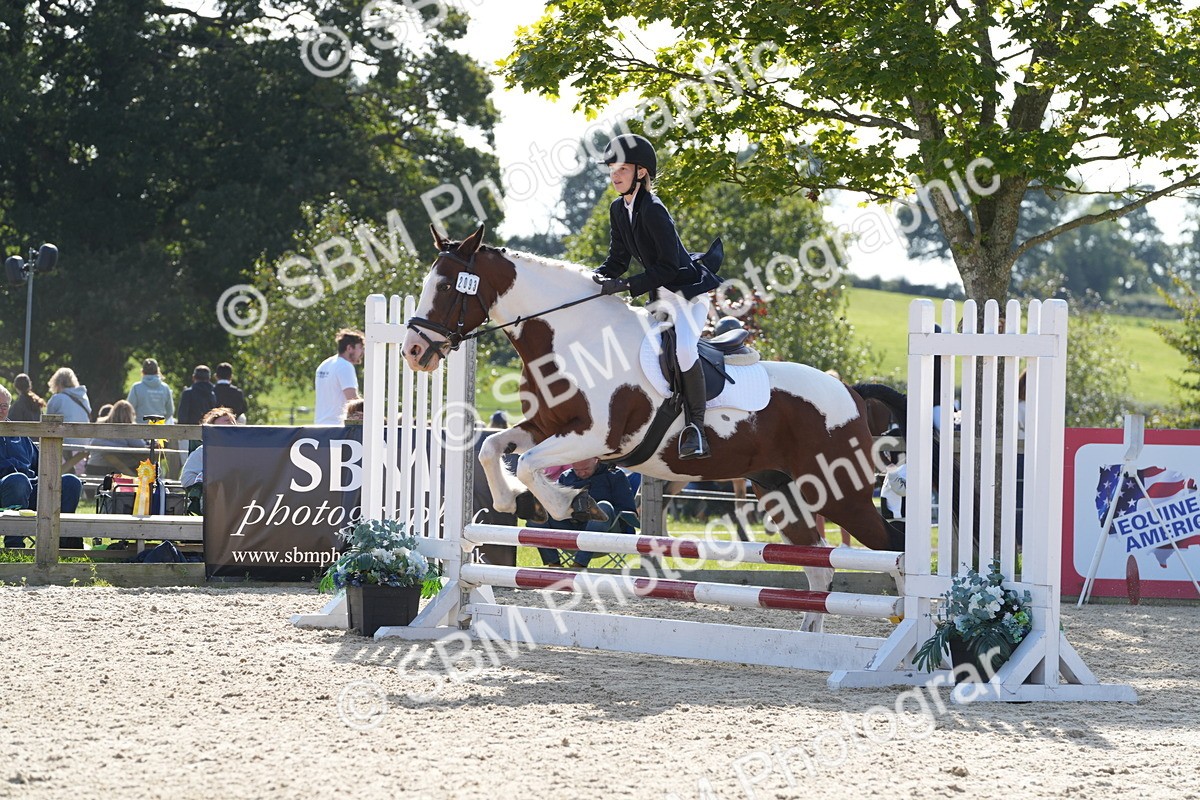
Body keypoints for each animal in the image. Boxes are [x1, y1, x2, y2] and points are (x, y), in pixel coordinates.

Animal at [403, 226, 910, 627]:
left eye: (447, 287)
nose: (413, 351)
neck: (575, 337)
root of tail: (850, 393)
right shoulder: (547, 424)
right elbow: (495, 449)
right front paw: (516, 500)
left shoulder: (595, 436)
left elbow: (528, 462)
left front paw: (570, 503)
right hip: (784, 493)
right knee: (820, 569)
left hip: (841, 491)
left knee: (893, 545)